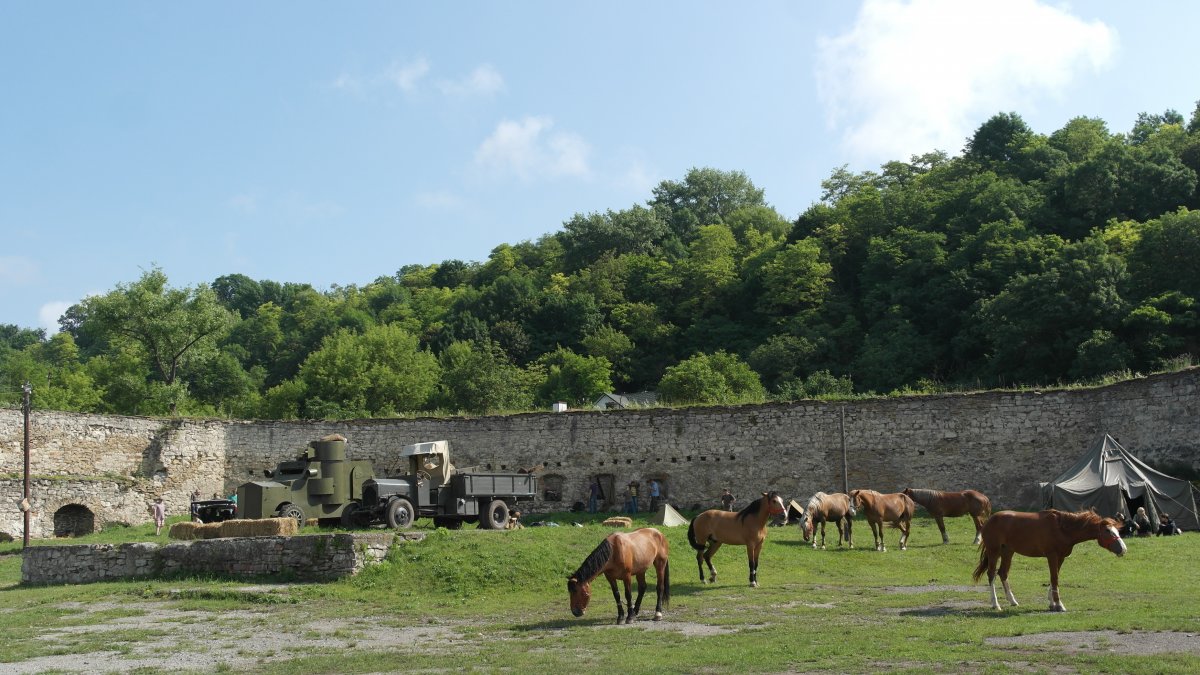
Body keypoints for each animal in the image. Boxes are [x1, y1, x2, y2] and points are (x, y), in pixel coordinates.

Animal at [972, 509, 1126, 612]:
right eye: (1108, 531)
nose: (1123, 549)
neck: (1062, 528)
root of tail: (990, 520)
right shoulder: (1052, 555)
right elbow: (1054, 578)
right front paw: (1059, 605)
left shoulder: (1060, 557)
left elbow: (1054, 578)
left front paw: (1052, 603)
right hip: (994, 551)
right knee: (991, 574)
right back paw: (995, 604)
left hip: (1008, 551)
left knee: (1003, 573)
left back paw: (1013, 601)